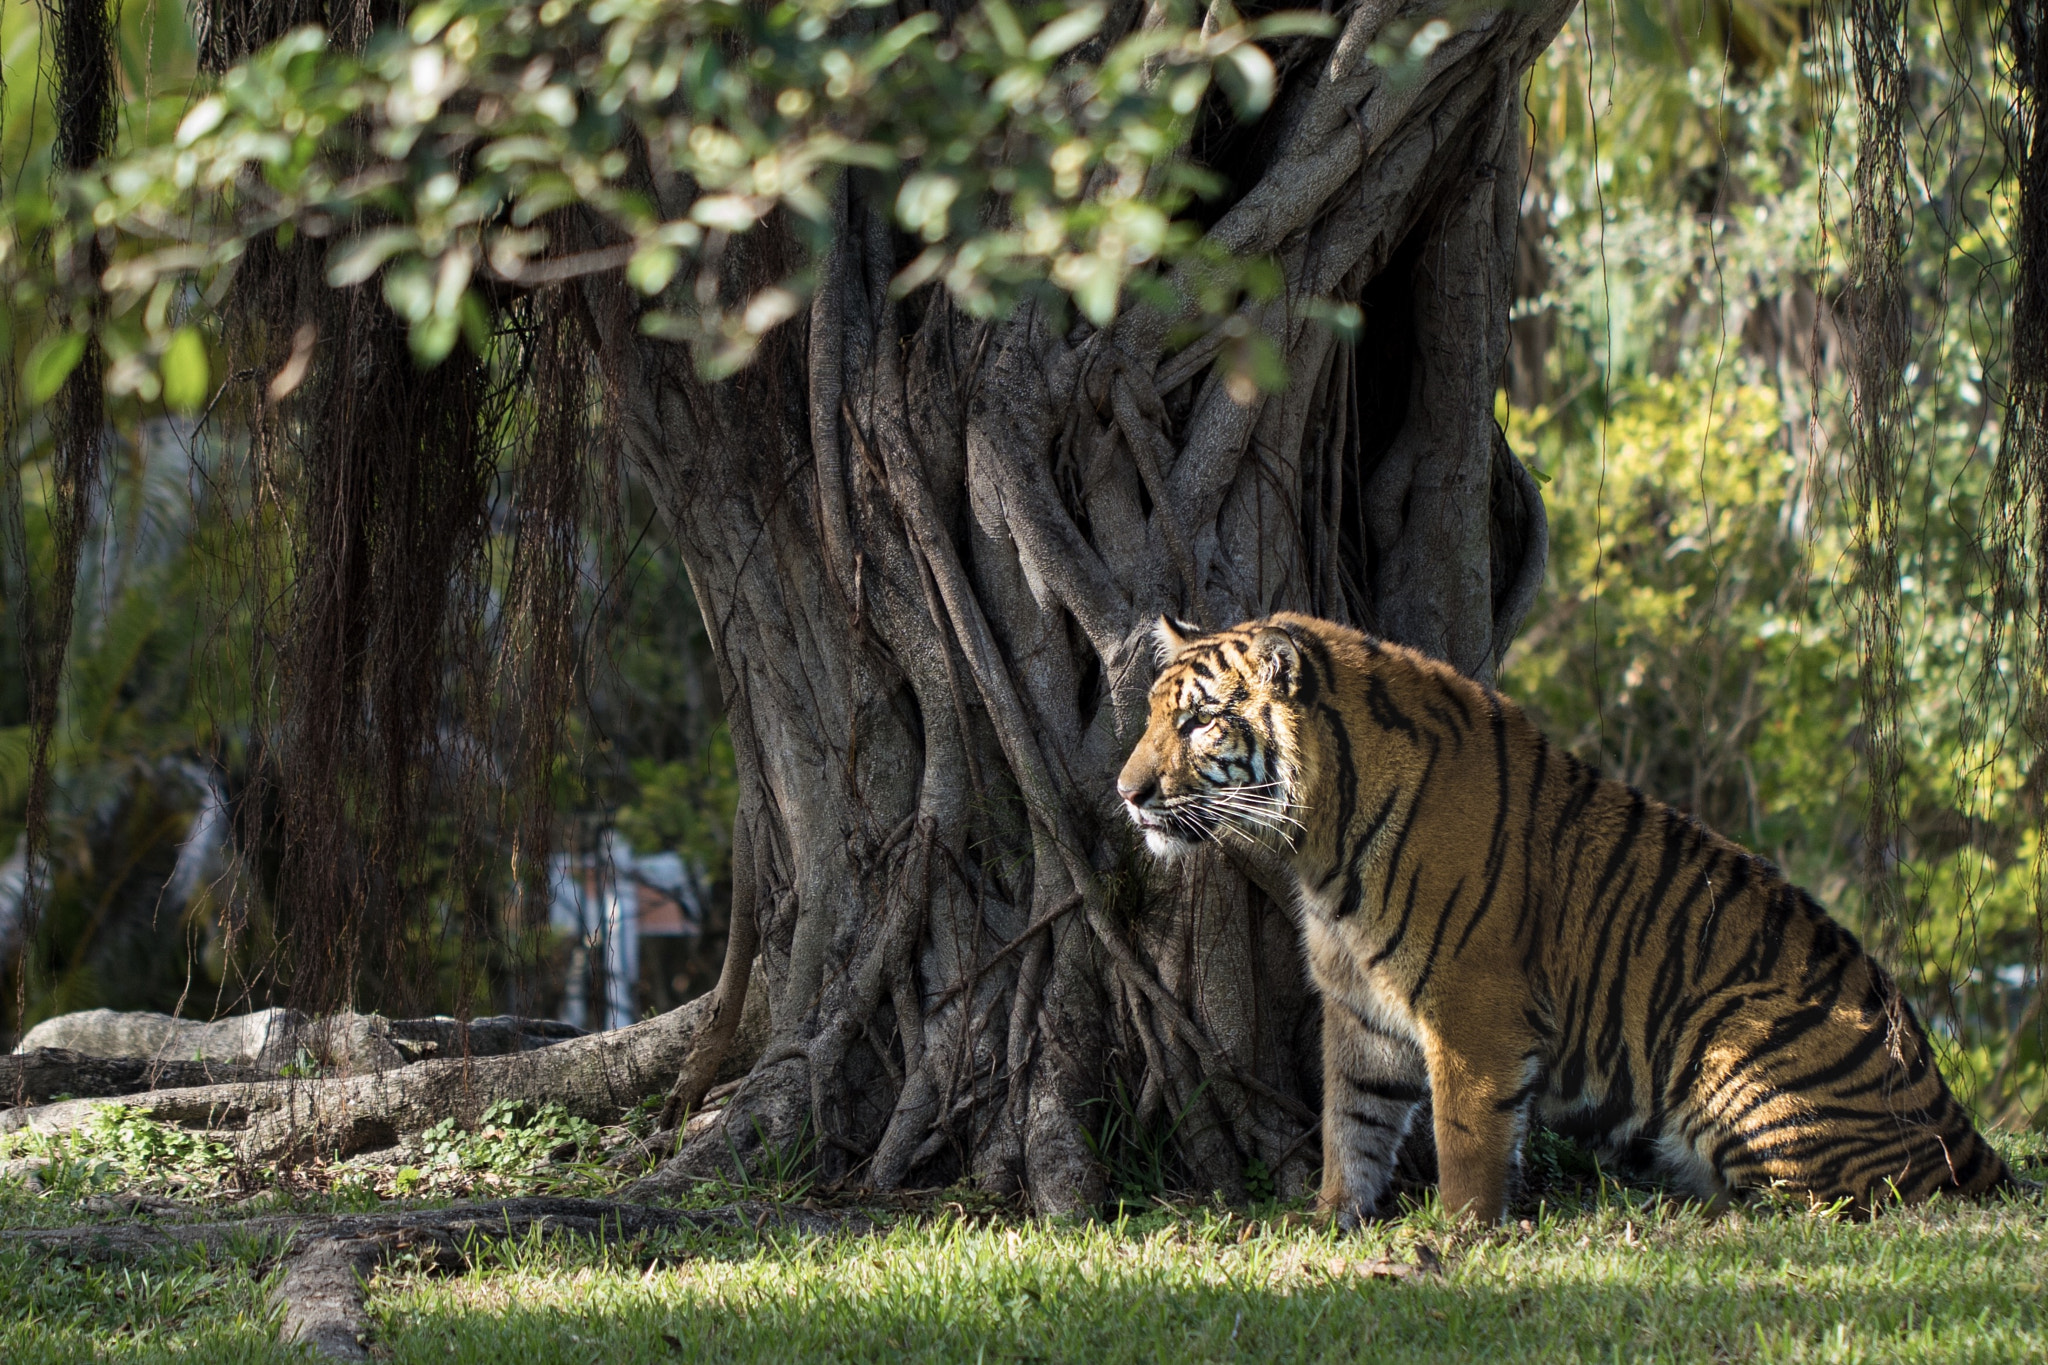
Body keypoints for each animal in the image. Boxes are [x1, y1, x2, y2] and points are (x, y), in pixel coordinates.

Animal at [1115, 612, 2014, 1224]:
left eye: (1200, 720)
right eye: (1154, 716)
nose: (1127, 793)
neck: (1321, 844)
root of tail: (1968, 1133)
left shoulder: (1473, 1010)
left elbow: (1466, 1129)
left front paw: (1459, 1231)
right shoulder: (1358, 1007)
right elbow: (1352, 1118)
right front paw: (1332, 1215)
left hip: (1734, 1045)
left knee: (1823, 1201)